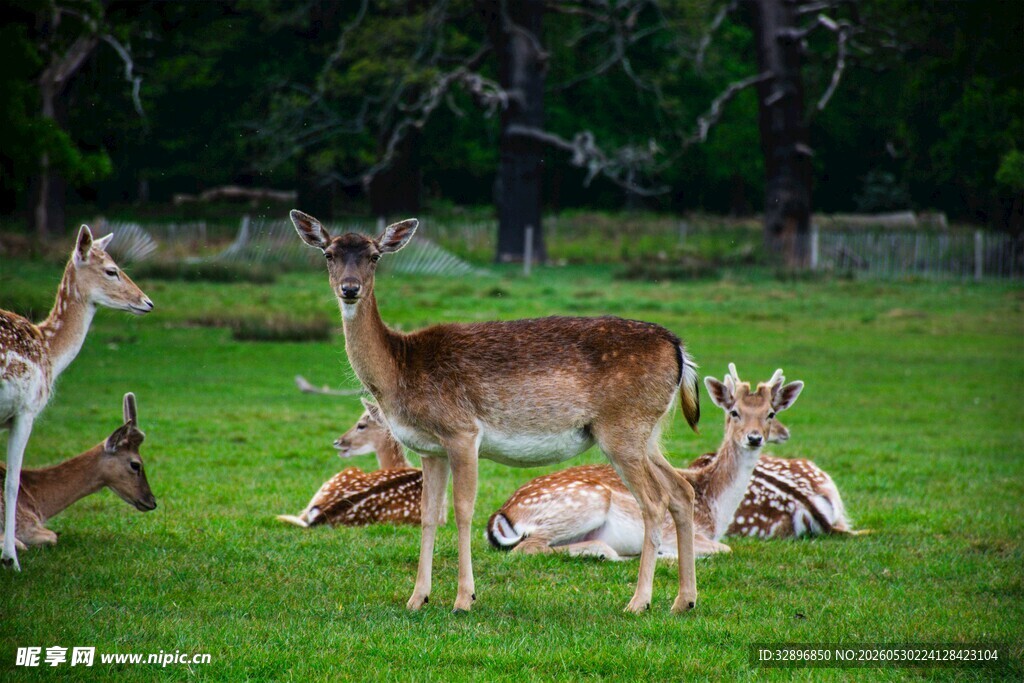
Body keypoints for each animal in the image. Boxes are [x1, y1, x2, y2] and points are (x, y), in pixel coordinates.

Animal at [486, 366, 805, 560]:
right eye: (734, 412)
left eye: (771, 413)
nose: (755, 438)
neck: (715, 508)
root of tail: (502, 515)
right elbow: (724, 548)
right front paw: (668, 554)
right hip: (586, 501)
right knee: (527, 547)